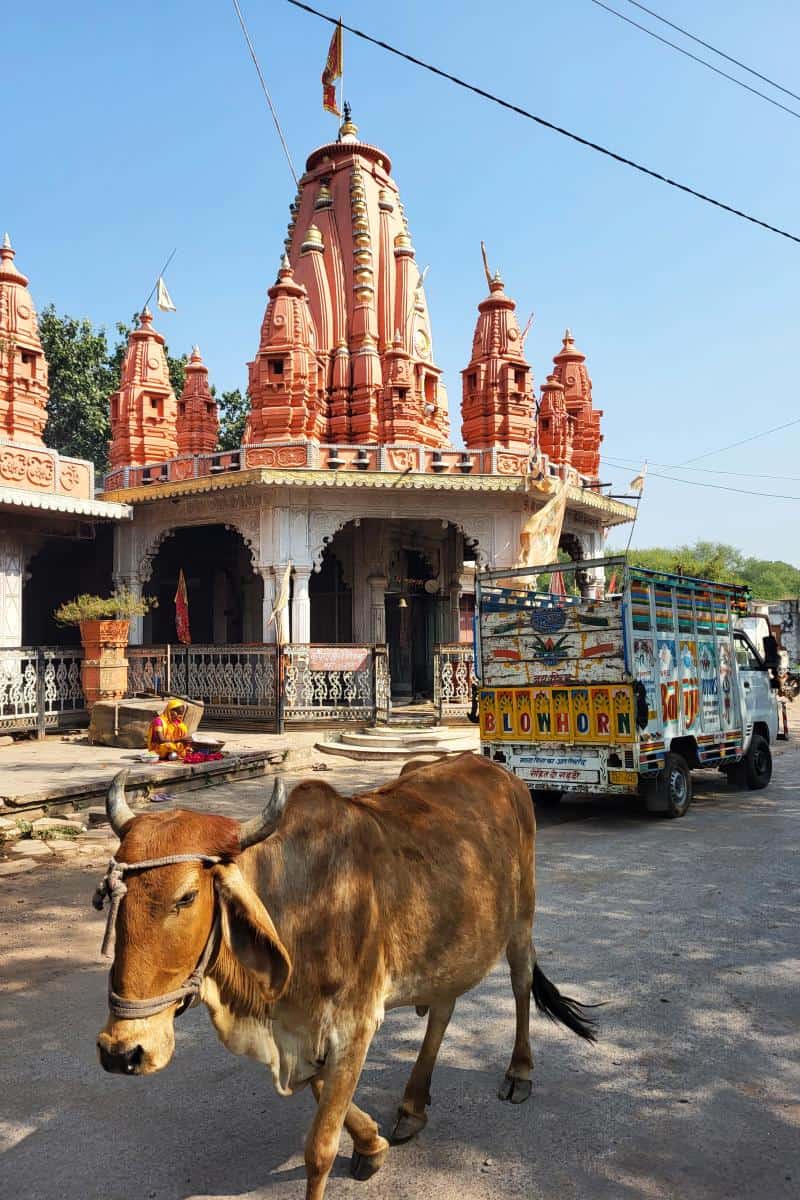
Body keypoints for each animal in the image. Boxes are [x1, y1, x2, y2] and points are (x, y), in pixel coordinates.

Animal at [95, 753, 595, 1200]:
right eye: (110, 892)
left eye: (187, 897)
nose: (123, 1052)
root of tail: (498, 770)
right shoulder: (302, 1031)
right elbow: (321, 1091)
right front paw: (372, 1144)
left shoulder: (355, 1023)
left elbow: (319, 1149)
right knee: (444, 1007)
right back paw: (413, 1105)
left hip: (521, 919)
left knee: (521, 982)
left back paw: (519, 1072)